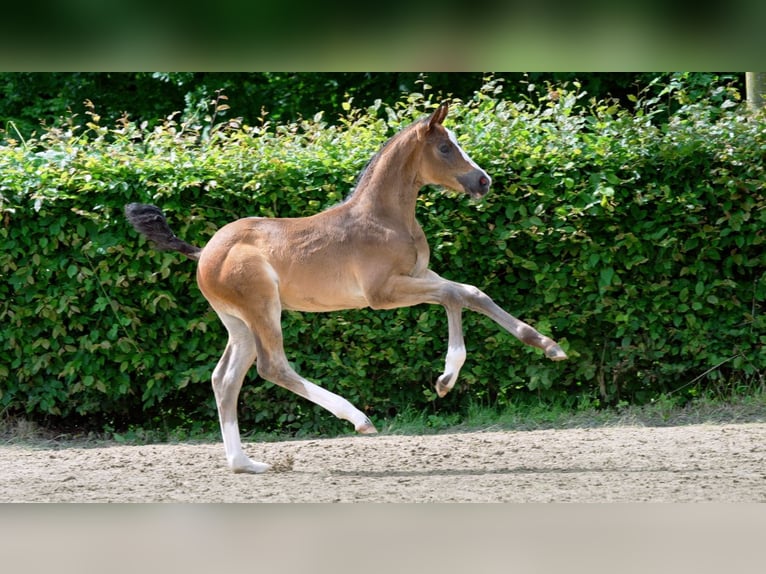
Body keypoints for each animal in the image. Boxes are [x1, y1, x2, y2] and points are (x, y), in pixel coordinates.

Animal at [127, 103, 568, 472]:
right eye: (445, 147)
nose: (484, 181)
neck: (385, 217)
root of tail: (204, 253)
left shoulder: (420, 275)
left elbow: (471, 293)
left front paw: (548, 346)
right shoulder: (382, 294)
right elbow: (453, 296)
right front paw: (446, 378)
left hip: (239, 324)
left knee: (225, 379)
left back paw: (245, 464)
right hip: (262, 309)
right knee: (273, 367)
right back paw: (357, 418)